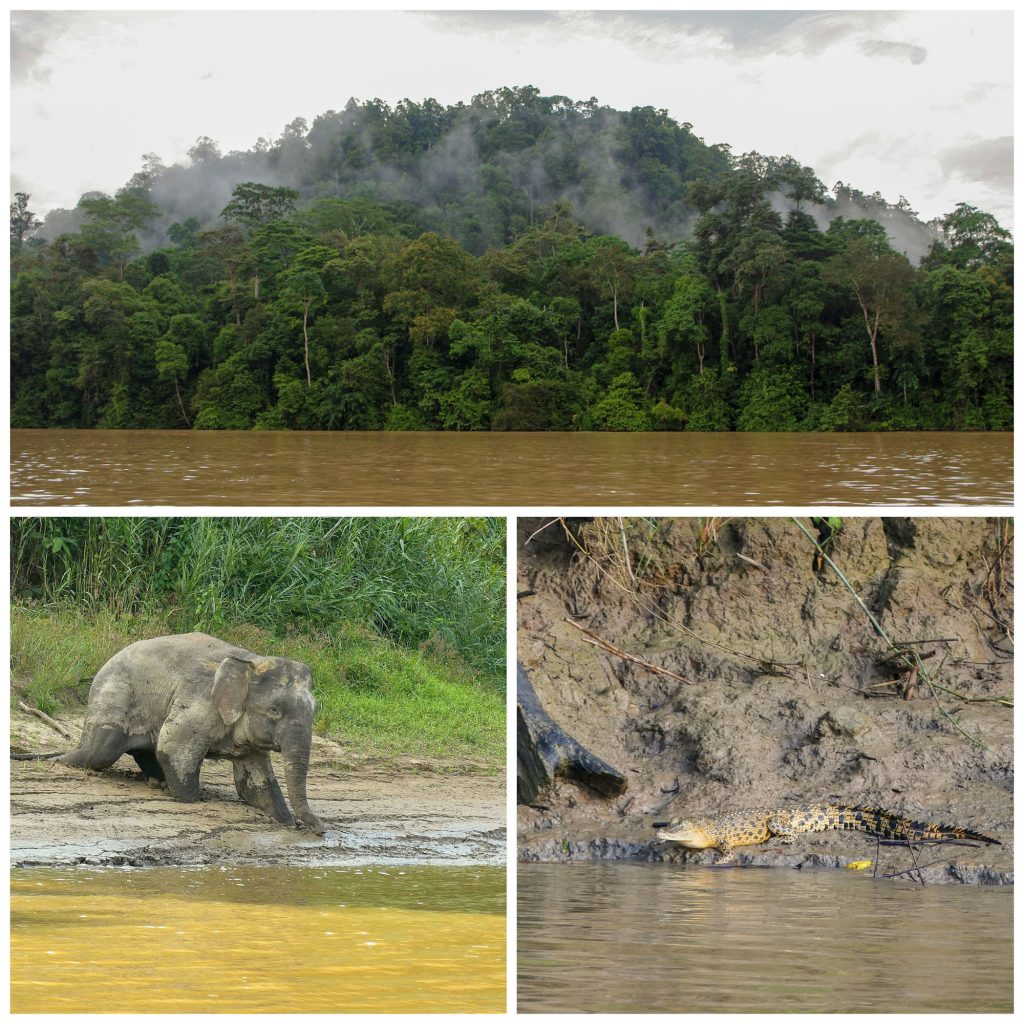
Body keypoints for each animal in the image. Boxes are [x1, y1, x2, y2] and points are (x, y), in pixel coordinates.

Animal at [55, 630, 323, 831]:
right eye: (274, 710)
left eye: (315, 710)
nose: (320, 828)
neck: (250, 661)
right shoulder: (200, 701)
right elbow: (172, 745)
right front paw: (191, 799)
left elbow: (255, 785)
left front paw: (285, 819)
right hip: (114, 694)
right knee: (100, 753)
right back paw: (60, 760)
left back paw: (158, 782)